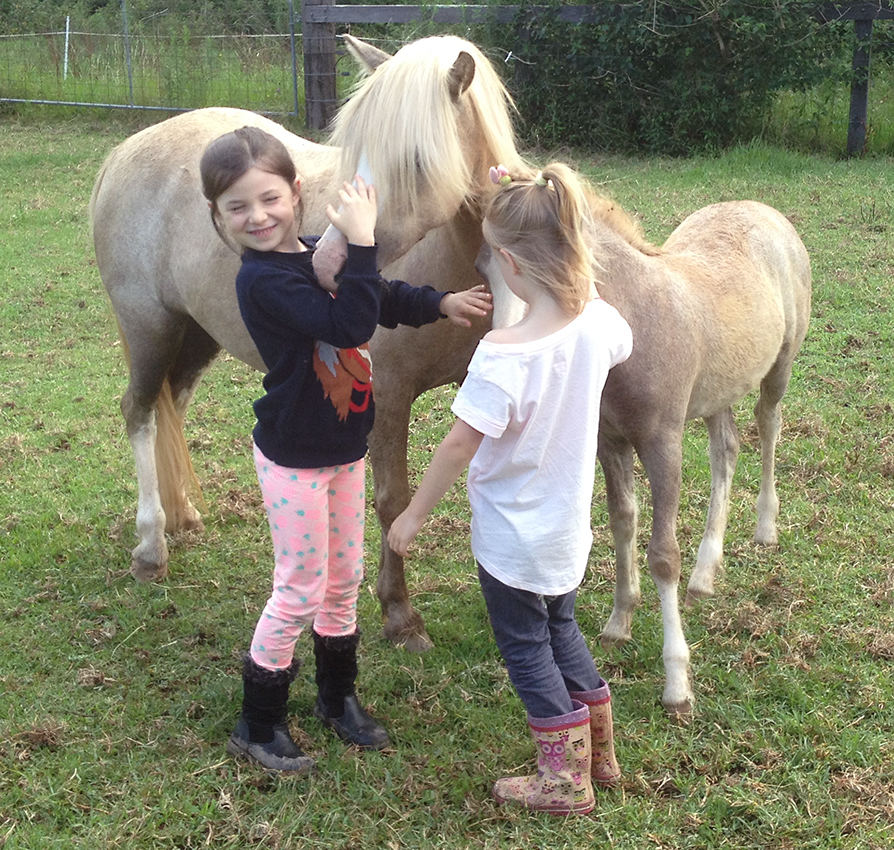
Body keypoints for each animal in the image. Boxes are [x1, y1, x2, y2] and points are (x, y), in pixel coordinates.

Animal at [89, 34, 522, 604]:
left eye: (414, 160)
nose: (329, 262)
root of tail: (124, 153)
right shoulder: (388, 393)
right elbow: (392, 501)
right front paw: (398, 610)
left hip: (196, 332)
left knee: (171, 405)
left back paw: (181, 516)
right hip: (149, 326)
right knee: (139, 412)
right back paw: (150, 545)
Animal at [475, 189, 811, 715]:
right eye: (481, 267)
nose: (504, 355)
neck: (635, 329)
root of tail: (762, 209)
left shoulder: (662, 444)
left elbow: (663, 555)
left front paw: (676, 682)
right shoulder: (609, 441)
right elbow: (622, 522)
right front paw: (619, 620)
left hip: (778, 367)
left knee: (768, 426)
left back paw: (765, 526)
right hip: (717, 390)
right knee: (726, 451)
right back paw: (705, 571)